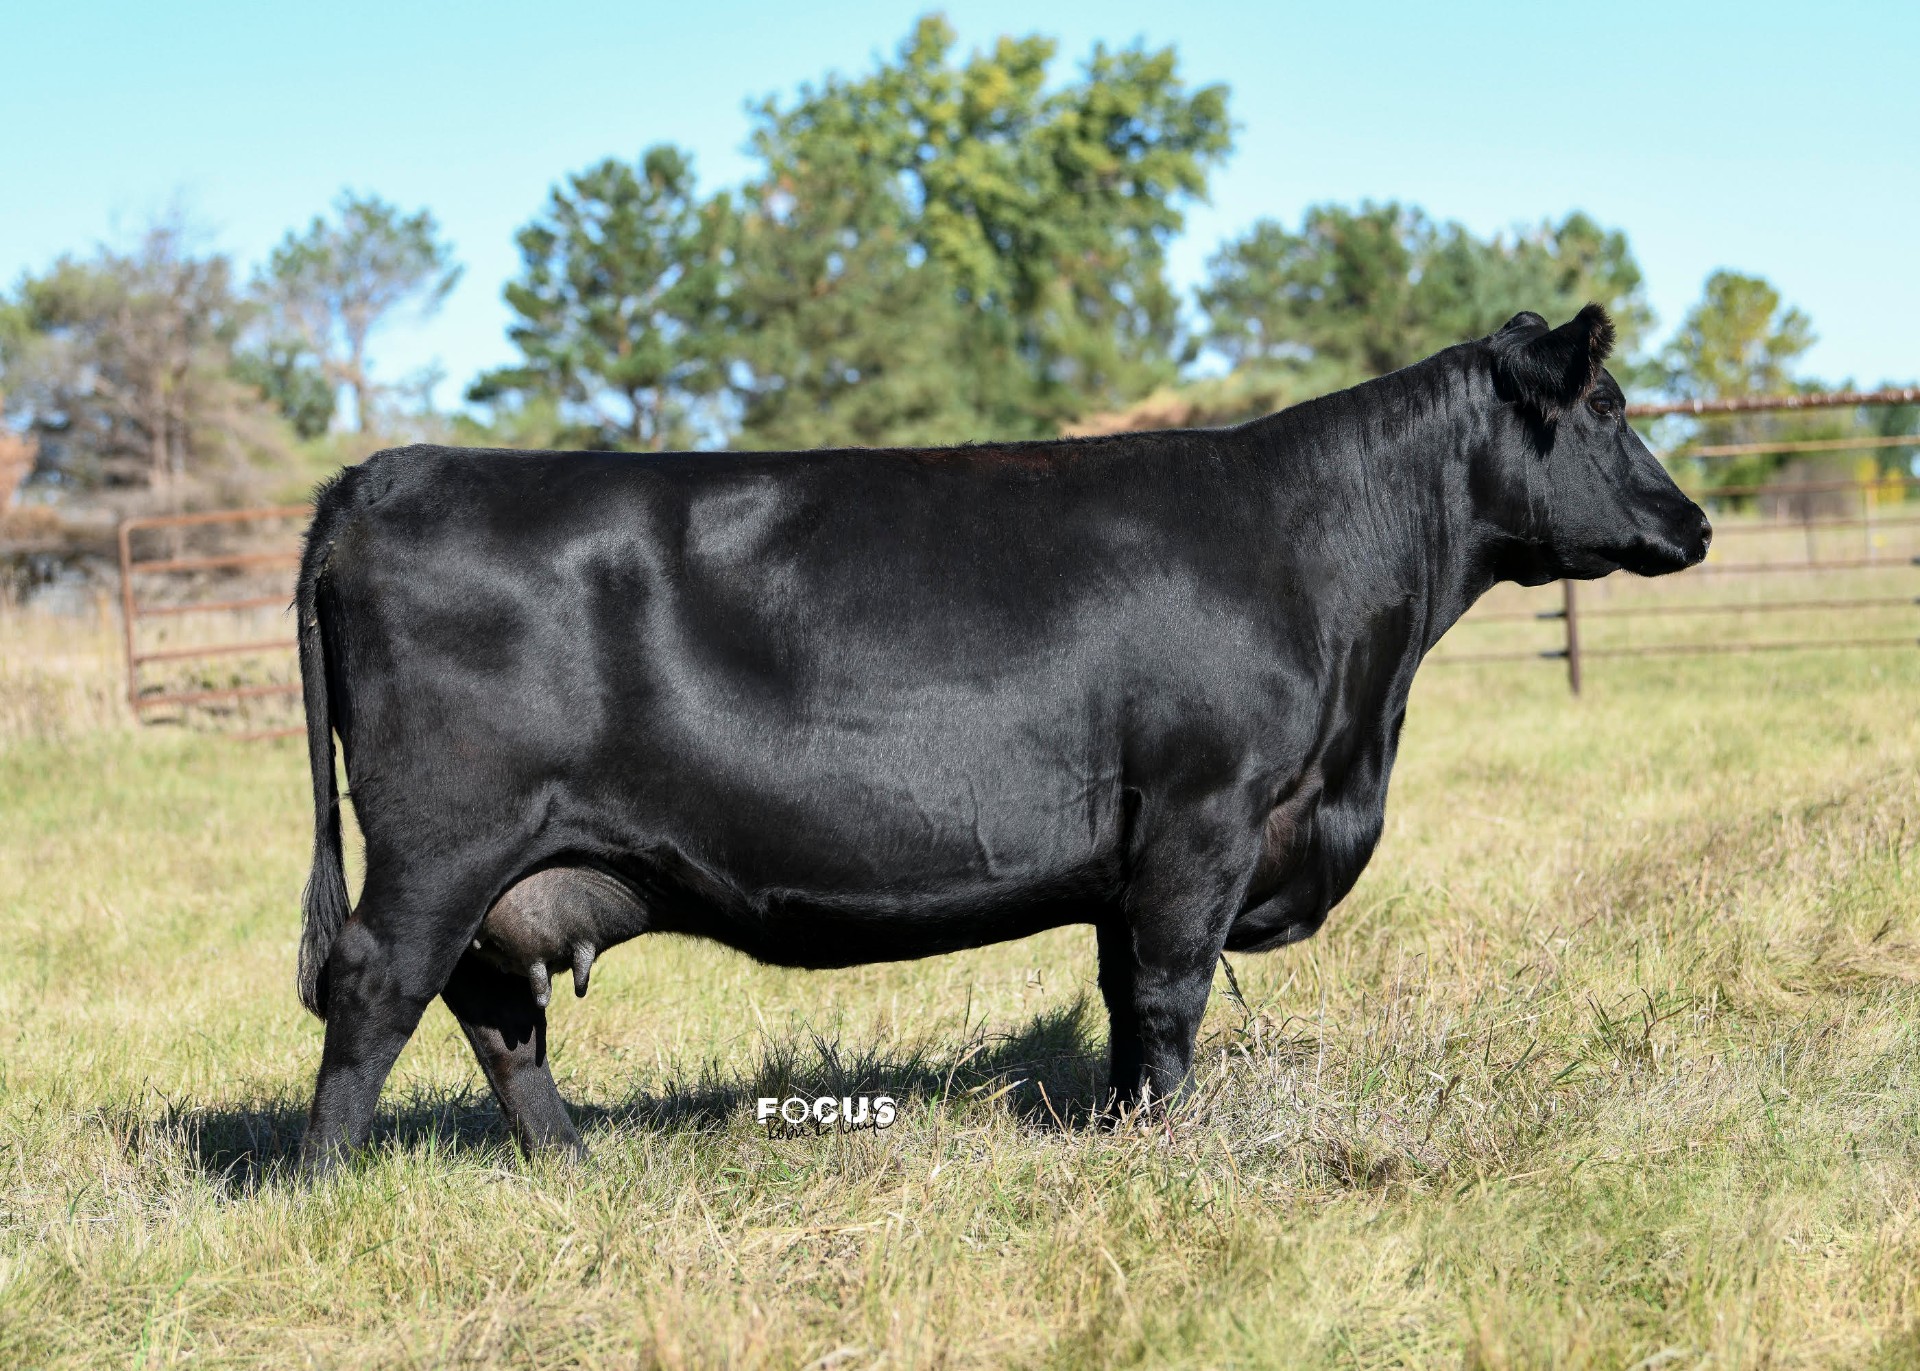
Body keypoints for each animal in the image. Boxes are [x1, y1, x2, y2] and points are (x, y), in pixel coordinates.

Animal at [292, 305, 1710, 1173]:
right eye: (1610, 405)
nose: (1694, 523)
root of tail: (382, 474)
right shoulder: (1203, 813)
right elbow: (1171, 993)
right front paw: (1164, 1150)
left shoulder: (1134, 854)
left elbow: (1126, 998)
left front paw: (1125, 1131)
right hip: (445, 838)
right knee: (375, 982)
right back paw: (323, 1188)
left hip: (499, 861)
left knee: (491, 1007)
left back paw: (575, 1163)